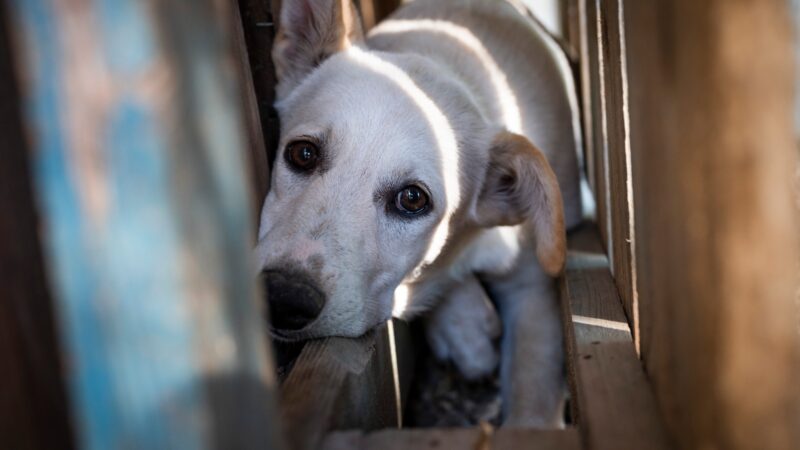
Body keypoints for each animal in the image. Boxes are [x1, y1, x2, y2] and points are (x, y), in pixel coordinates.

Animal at [256, 0, 580, 426]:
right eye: (303, 153)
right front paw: (465, 327)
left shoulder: (532, 284)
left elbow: (534, 379)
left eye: (412, 199)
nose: (284, 298)